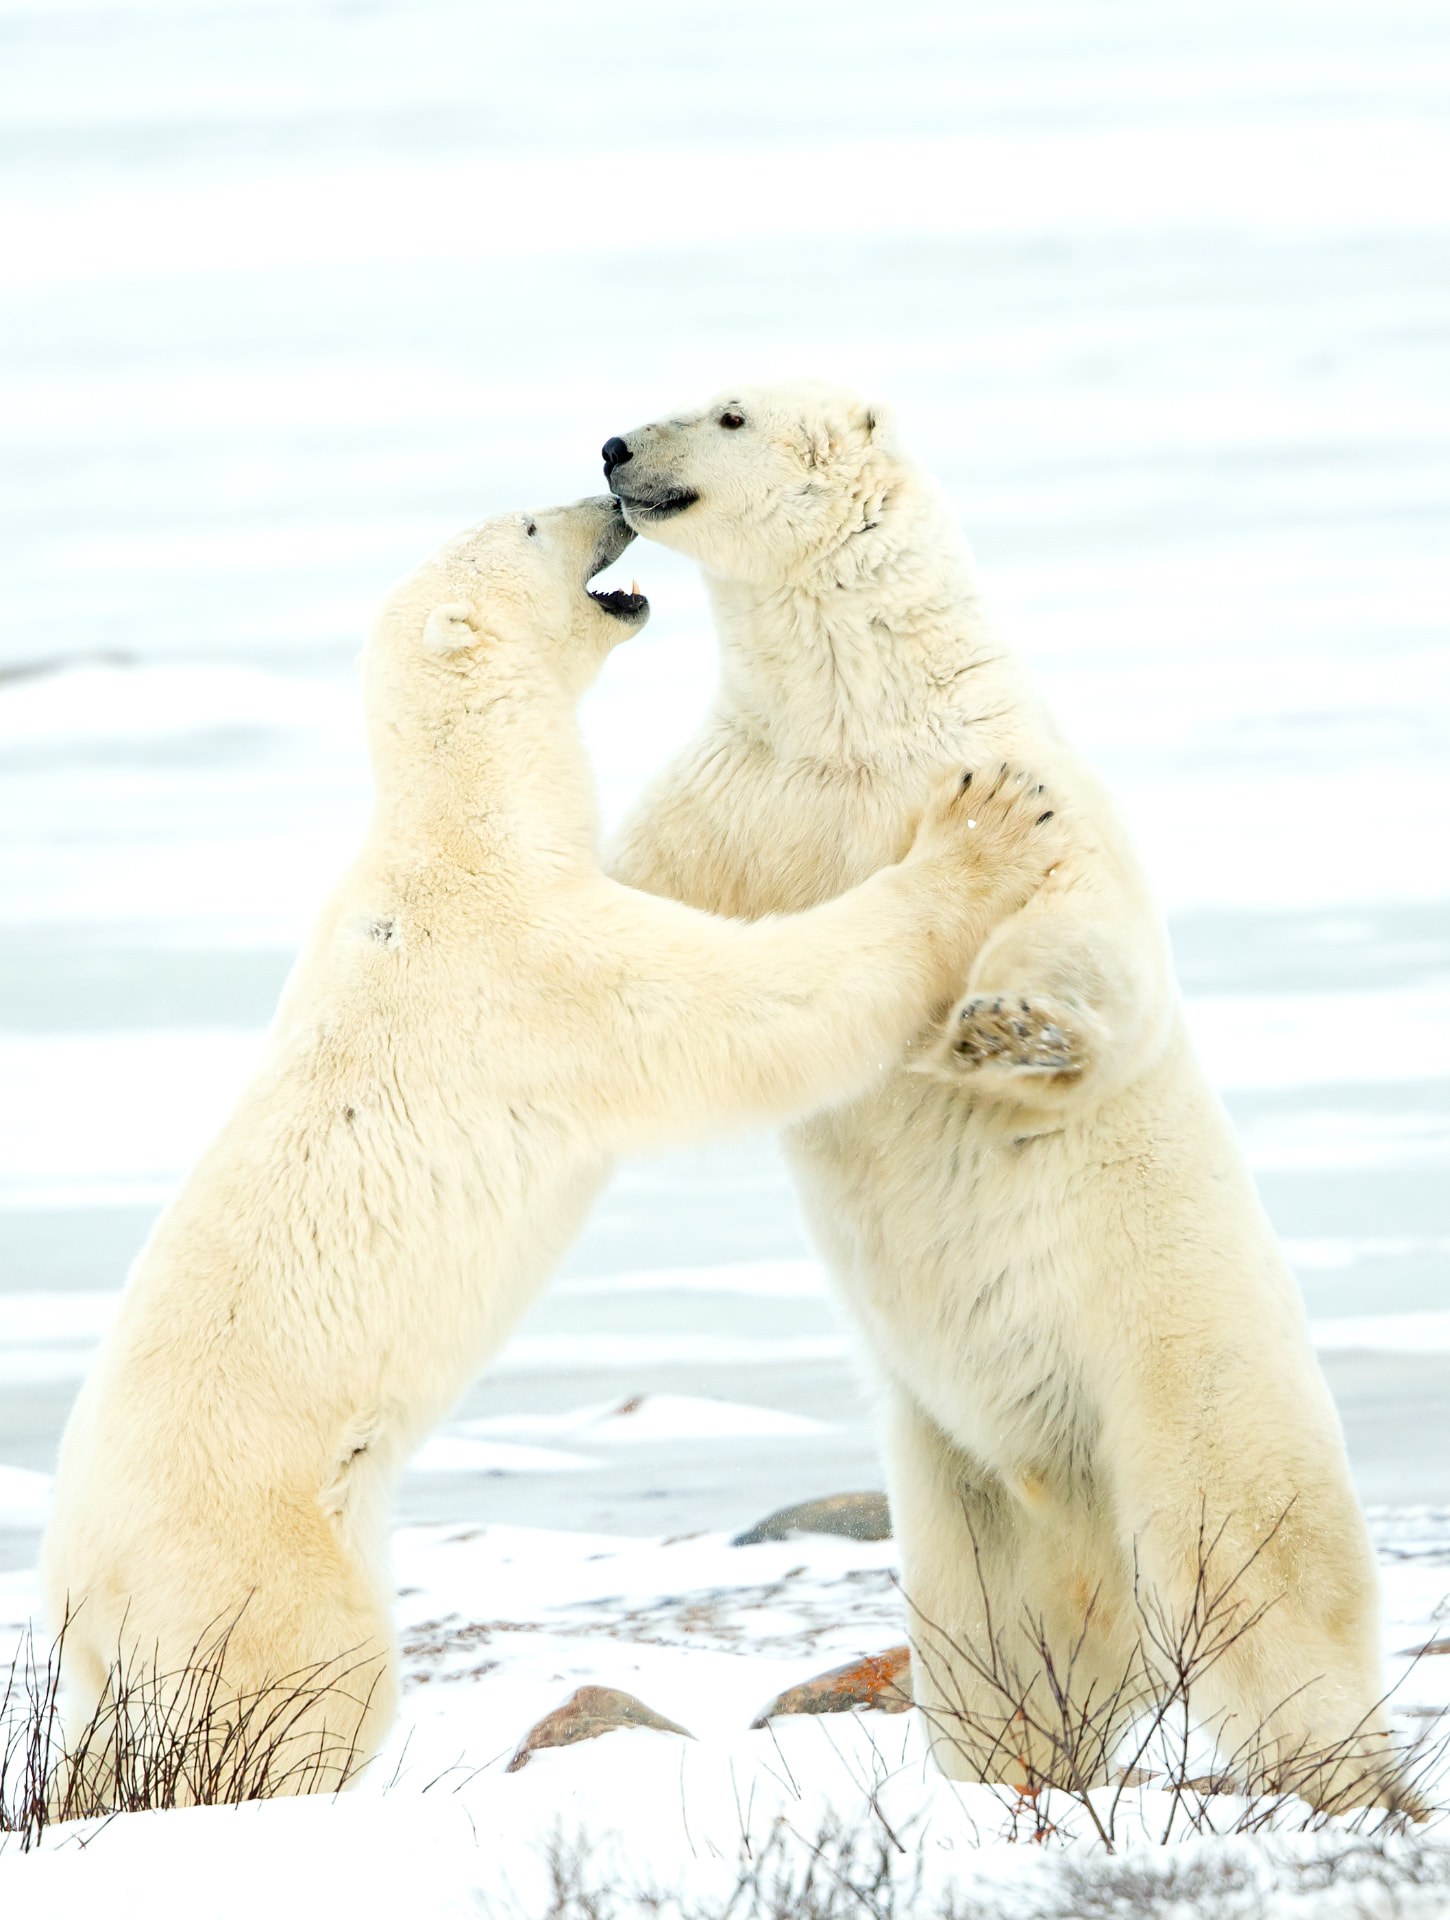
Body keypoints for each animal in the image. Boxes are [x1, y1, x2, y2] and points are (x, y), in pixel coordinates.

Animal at [41, 493, 1062, 1803]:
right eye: (529, 526)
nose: (607, 496)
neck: (465, 828)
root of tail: (76, 1594)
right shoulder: (532, 964)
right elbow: (751, 1008)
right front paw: (981, 829)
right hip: (247, 1544)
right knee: (301, 1688)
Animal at [601, 385, 1407, 1810]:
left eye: (727, 411)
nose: (614, 451)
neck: (856, 710)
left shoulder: (1000, 771)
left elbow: (1088, 932)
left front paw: (1002, 1027)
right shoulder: (741, 800)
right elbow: (640, 918)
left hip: (1187, 1386)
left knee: (1263, 1598)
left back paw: (1343, 1782)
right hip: (961, 1490)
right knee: (993, 1658)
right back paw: (1010, 1774)